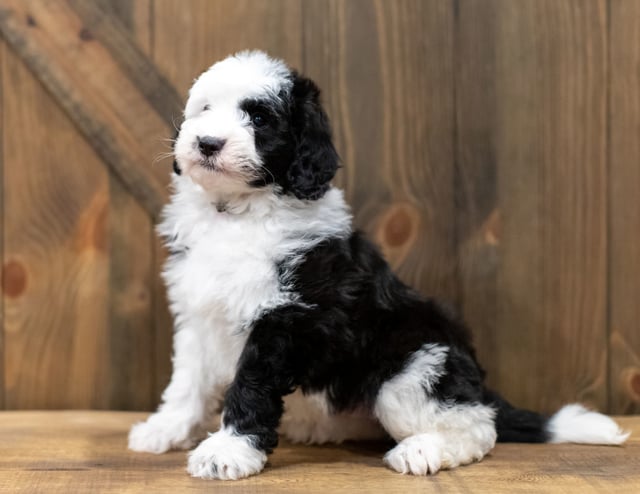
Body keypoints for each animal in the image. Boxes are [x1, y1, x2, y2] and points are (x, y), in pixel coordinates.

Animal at [129, 52, 624, 480]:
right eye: (205, 108)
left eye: (261, 118)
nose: (206, 143)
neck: (236, 213)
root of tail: (478, 384)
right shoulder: (198, 312)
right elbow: (187, 380)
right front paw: (166, 428)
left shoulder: (284, 319)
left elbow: (251, 384)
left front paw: (227, 452)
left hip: (413, 366)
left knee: (477, 427)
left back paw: (422, 450)